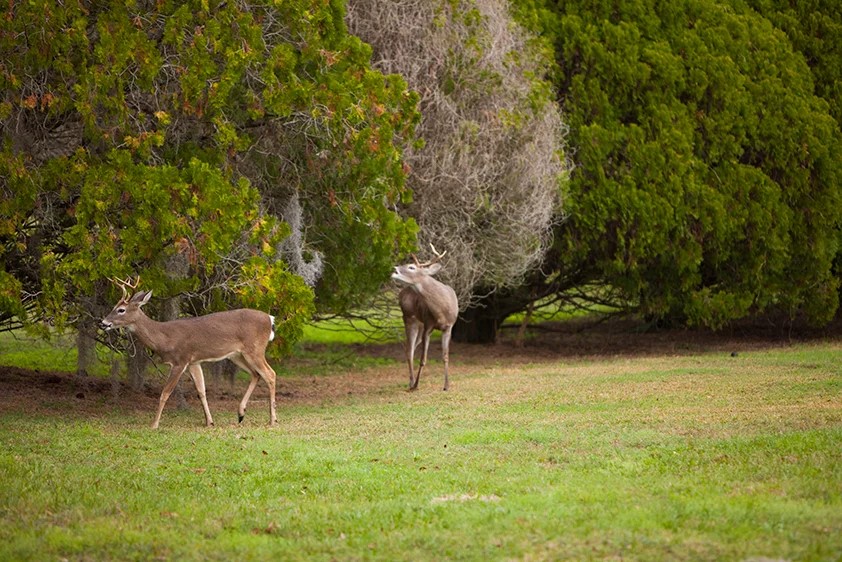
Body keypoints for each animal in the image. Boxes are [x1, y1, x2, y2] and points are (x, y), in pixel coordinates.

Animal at [101, 276, 278, 429]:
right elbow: (201, 391)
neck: (164, 338)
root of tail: (270, 319)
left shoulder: (180, 360)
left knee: (270, 374)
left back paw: (272, 420)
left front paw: (154, 424)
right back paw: (241, 413)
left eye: (121, 310)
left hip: (255, 349)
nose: (103, 323)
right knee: (256, 374)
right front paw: (209, 422)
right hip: (237, 355)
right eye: (114, 307)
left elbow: (165, 393)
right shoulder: (194, 362)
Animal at [392, 245, 458, 391]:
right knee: (409, 350)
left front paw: (446, 386)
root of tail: (403, 291)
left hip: (419, 324)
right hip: (409, 318)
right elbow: (423, 359)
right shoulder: (428, 325)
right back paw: (411, 383)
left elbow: (445, 356)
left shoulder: (449, 327)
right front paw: (417, 385)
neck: (441, 310)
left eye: (411, 267)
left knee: (411, 349)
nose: (394, 269)